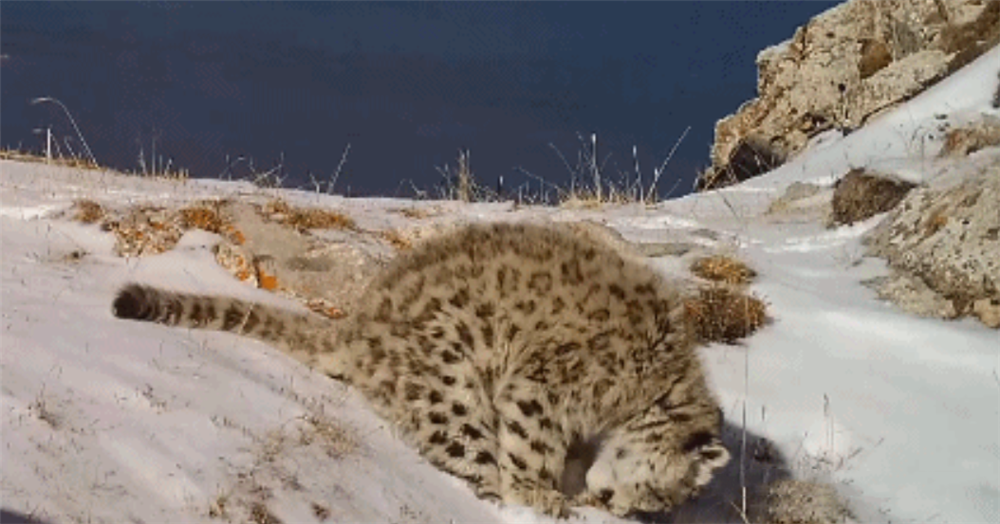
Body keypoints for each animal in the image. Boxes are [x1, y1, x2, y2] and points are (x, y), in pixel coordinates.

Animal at [115, 220, 728, 516]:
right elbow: (531, 446)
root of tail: (358, 324)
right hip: (450, 386)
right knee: (470, 461)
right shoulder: (546, 387)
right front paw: (542, 494)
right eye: (657, 495)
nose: (615, 508)